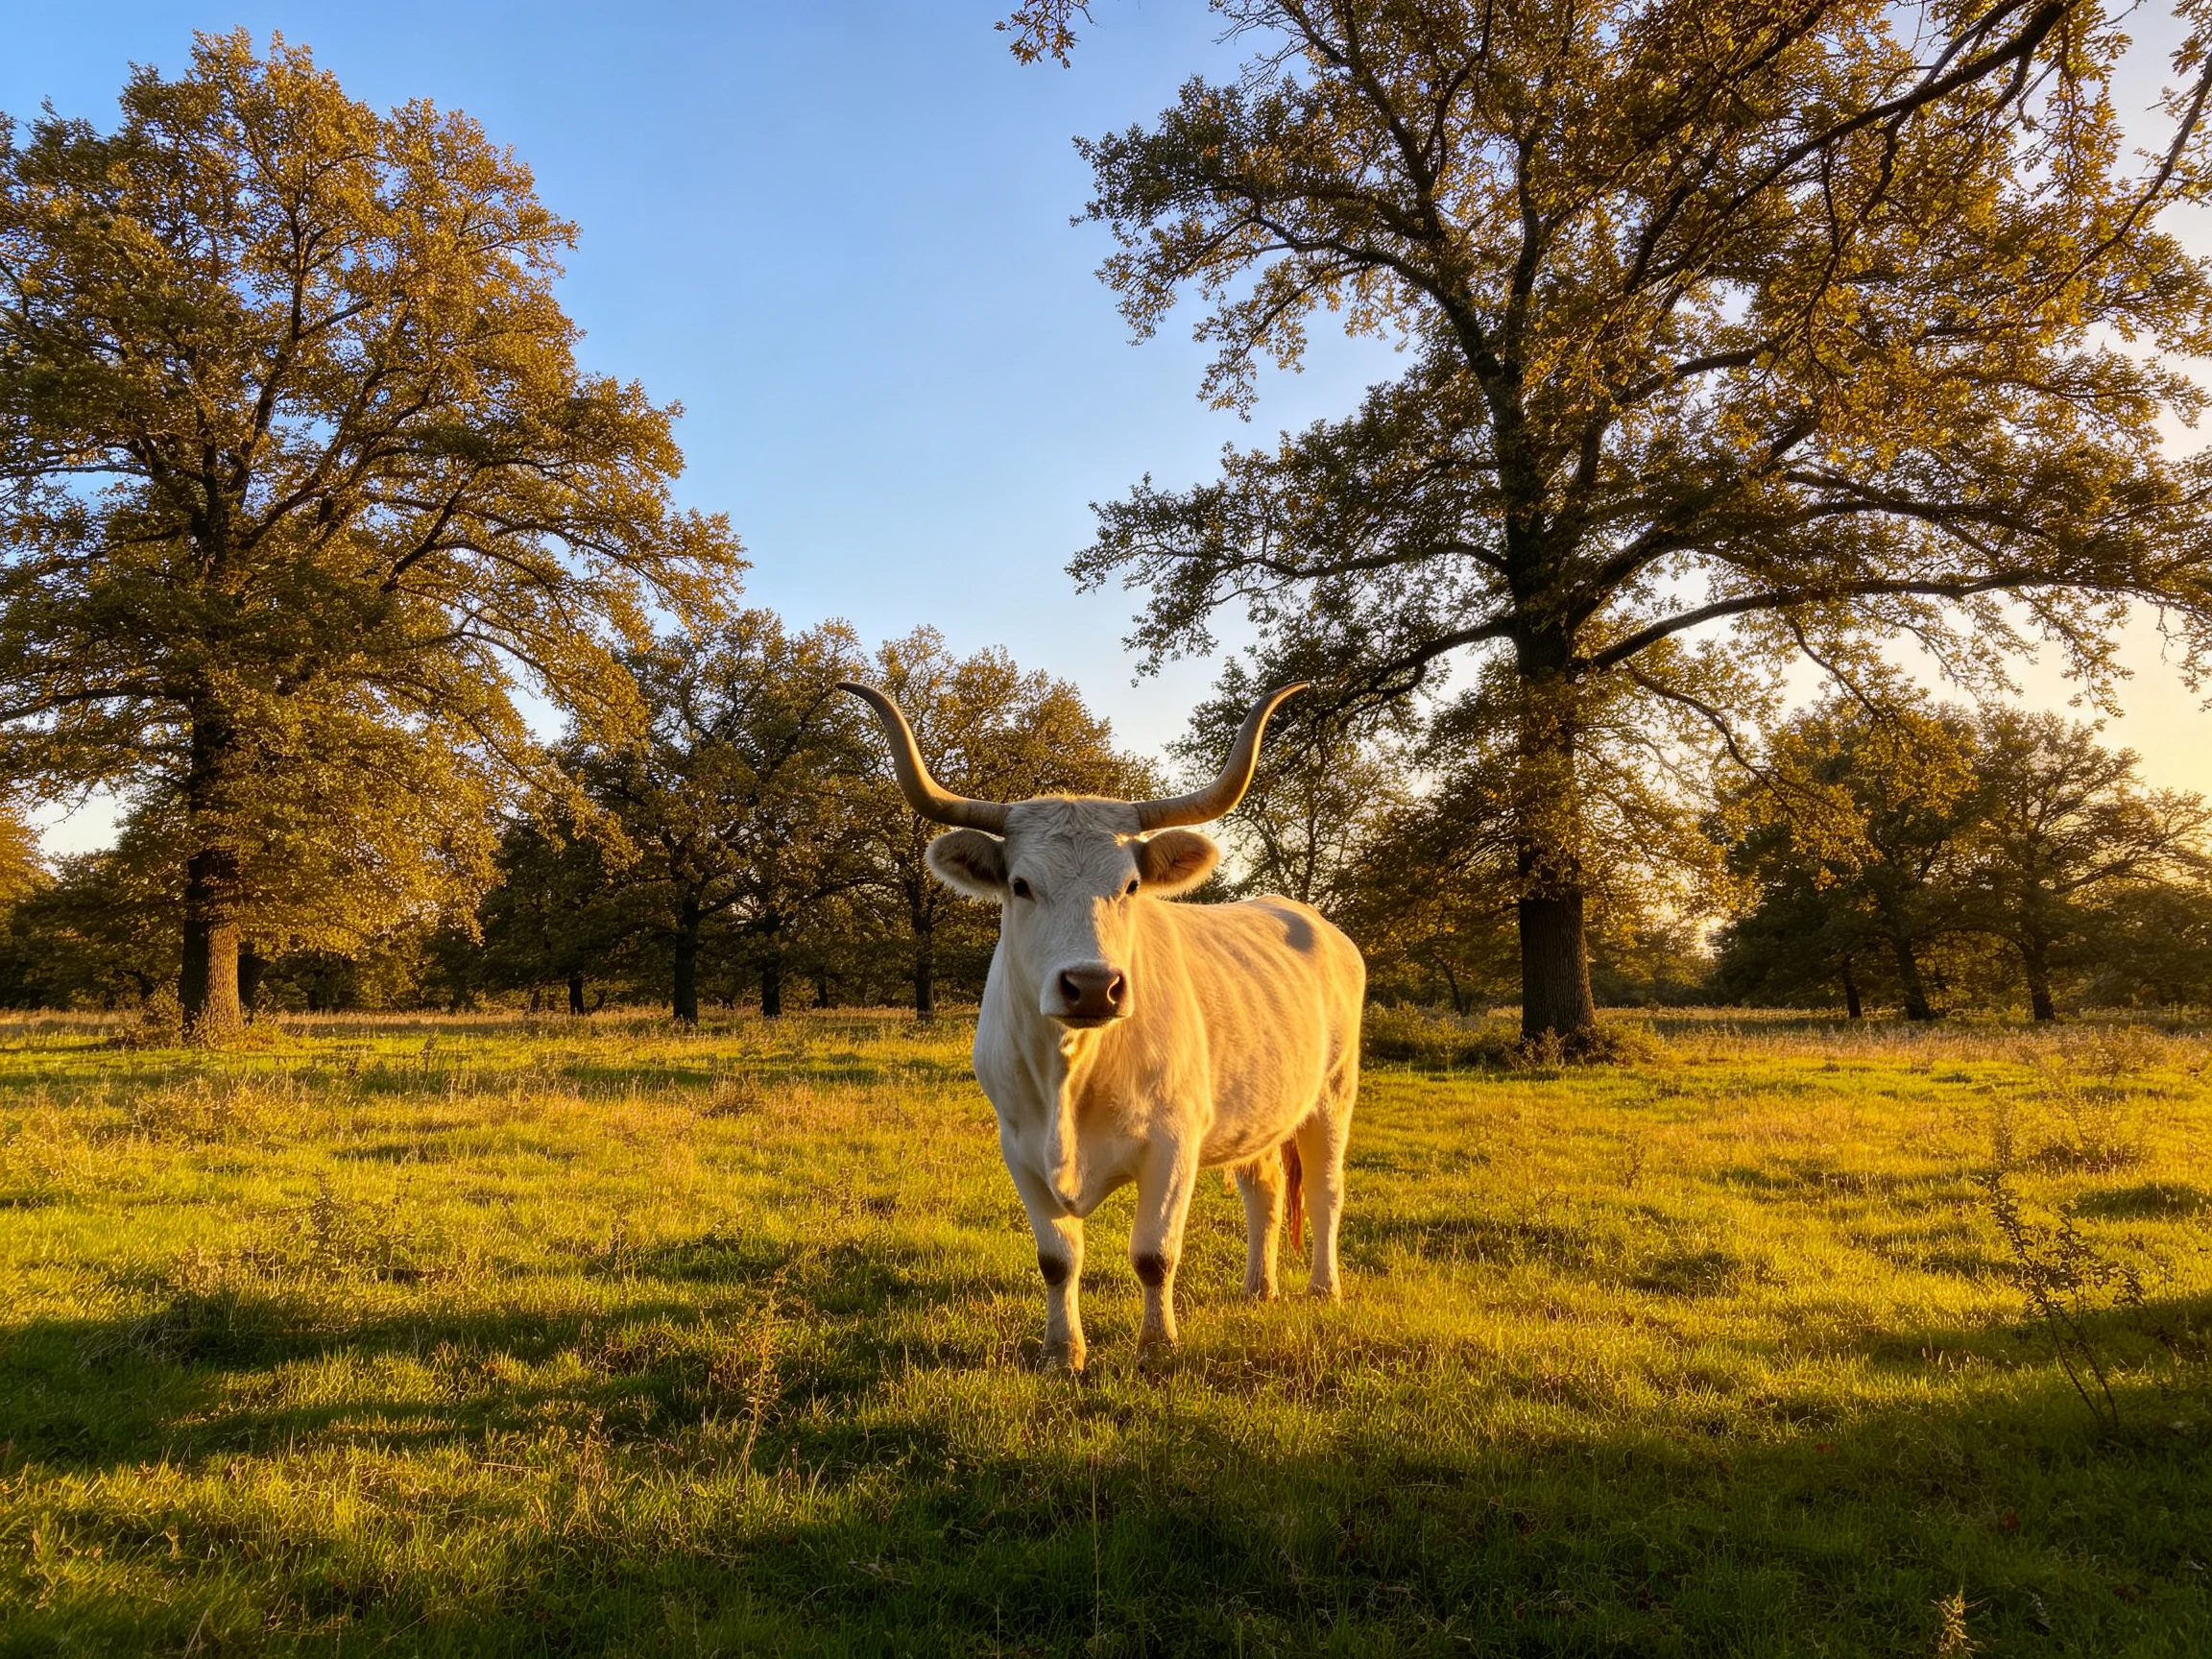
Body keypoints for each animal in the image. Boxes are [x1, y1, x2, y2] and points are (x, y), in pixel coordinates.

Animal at [840, 680, 1365, 1371]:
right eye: (1020, 884)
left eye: (1132, 884)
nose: (1092, 984)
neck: (1072, 1071)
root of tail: (1310, 917)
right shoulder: (1020, 1147)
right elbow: (1057, 1259)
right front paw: (1062, 1352)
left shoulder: (1173, 1144)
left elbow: (1154, 1256)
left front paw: (1157, 1348)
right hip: (1258, 1109)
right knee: (1266, 1191)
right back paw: (1259, 1289)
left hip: (1333, 1094)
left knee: (1326, 1191)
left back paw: (1324, 1290)